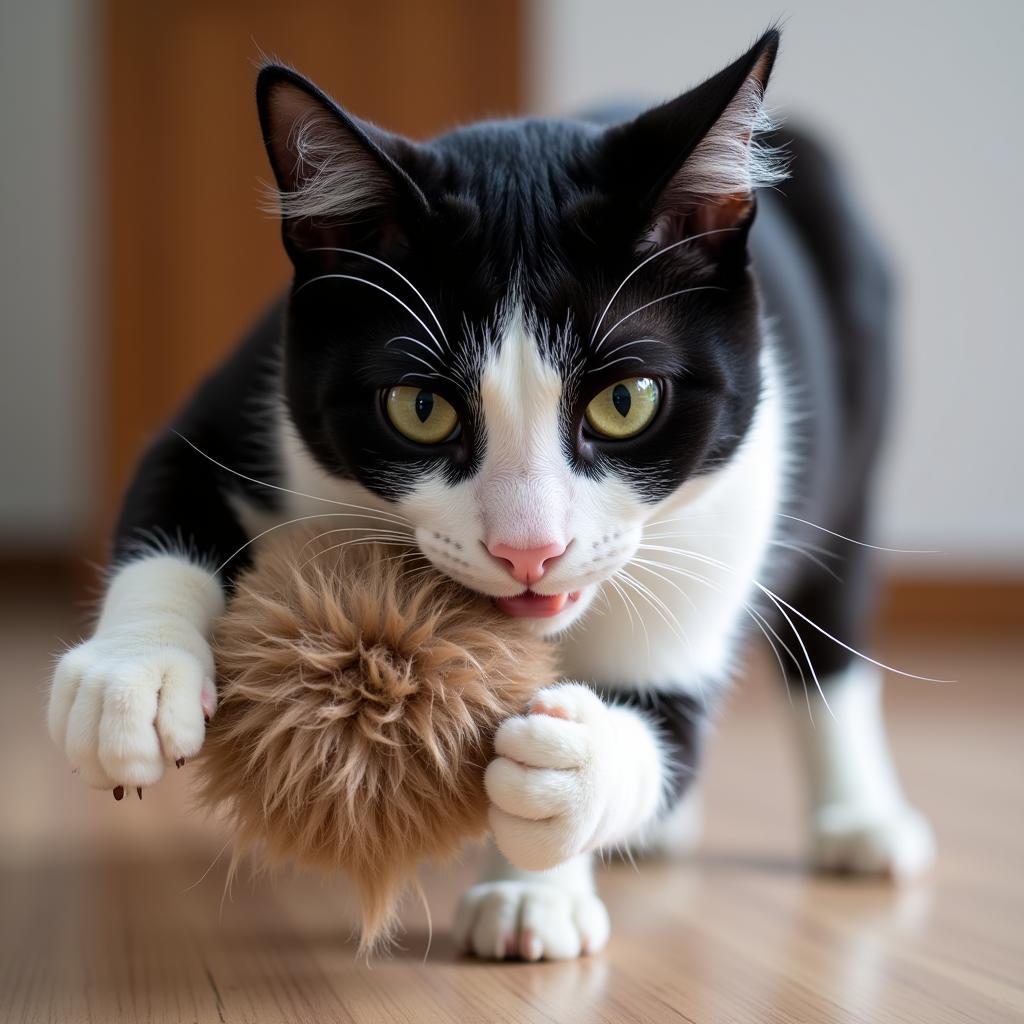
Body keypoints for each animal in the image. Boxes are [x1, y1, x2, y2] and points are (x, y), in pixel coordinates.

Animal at [49, 29, 937, 958]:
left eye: (626, 401)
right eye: (421, 407)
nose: (529, 548)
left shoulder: (725, 516)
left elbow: (665, 727)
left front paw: (556, 817)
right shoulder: (258, 396)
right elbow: (172, 482)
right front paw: (130, 679)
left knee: (833, 635)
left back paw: (862, 820)